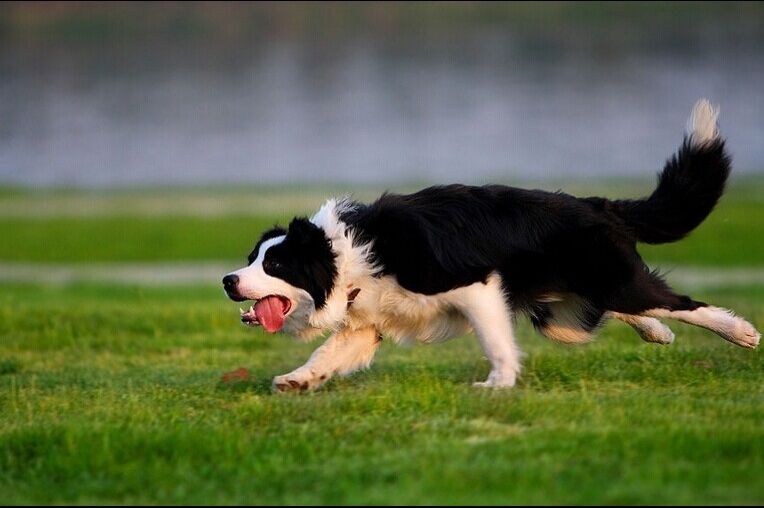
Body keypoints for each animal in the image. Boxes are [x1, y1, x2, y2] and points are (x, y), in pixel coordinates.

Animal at [222, 99, 760, 392]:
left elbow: (495, 340)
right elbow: (327, 355)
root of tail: (599, 204)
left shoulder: (474, 283)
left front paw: (497, 385)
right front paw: (296, 381)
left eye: (276, 263)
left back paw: (741, 332)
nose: (227, 281)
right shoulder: (366, 320)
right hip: (564, 314)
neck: (345, 255)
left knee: (678, 301)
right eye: (252, 259)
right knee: (614, 310)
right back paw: (657, 333)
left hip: (608, 281)